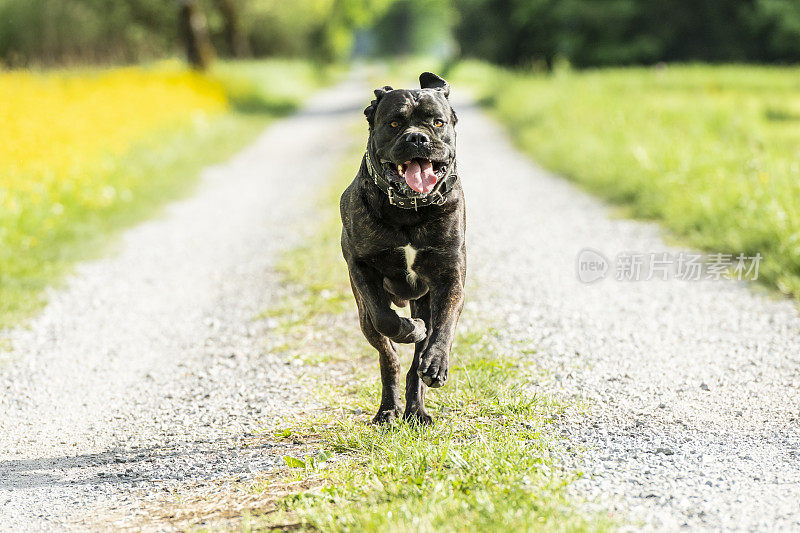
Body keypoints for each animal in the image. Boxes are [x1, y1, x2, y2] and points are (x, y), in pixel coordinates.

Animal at [340, 74, 466, 424]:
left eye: (438, 122)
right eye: (395, 123)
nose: (417, 138)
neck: (411, 211)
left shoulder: (451, 274)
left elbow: (445, 326)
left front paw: (436, 363)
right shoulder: (361, 267)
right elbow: (385, 318)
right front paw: (409, 329)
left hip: (426, 298)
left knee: (416, 361)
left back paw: (417, 409)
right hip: (363, 315)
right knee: (389, 356)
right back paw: (388, 408)